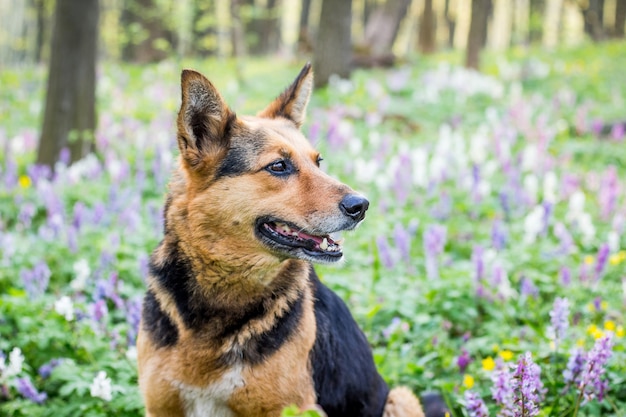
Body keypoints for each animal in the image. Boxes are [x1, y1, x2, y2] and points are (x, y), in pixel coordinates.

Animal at [137, 62, 444, 416]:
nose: (361, 206)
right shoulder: (161, 406)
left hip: (400, 397)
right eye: (279, 166)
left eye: (318, 162)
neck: (224, 289)